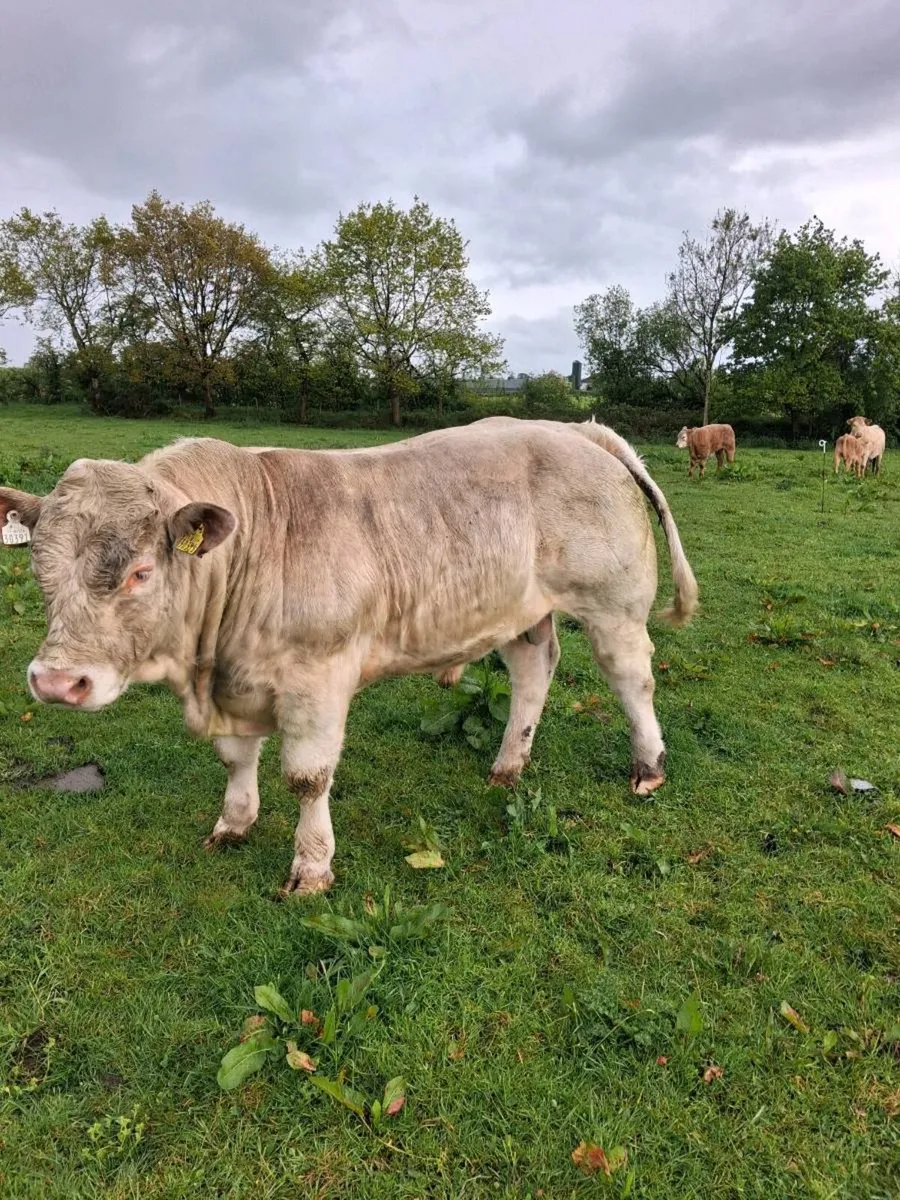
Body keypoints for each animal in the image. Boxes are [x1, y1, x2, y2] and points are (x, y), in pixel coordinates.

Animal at [0, 418, 698, 897]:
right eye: (39, 567)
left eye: (141, 573)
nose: (58, 682)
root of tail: (576, 430)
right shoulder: (236, 682)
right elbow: (236, 759)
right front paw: (233, 824)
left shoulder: (317, 678)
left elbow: (307, 778)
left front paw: (311, 866)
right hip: (521, 609)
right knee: (533, 670)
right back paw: (507, 766)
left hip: (613, 606)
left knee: (631, 679)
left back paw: (649, 766)